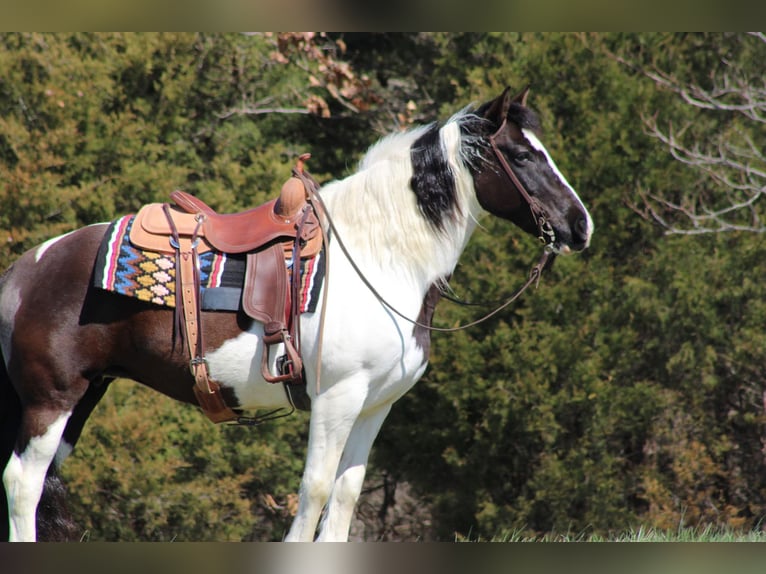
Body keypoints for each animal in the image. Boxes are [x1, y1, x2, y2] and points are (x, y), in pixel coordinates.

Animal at [0, 83, 592, 544]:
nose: (580, 225)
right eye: (522, 156)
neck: (380, 258)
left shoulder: (377, 405)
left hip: (83, 397)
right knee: (22, 484)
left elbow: (347, 495)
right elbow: (316, 490)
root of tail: (24, 271)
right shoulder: (337, 398)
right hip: (52, 400)